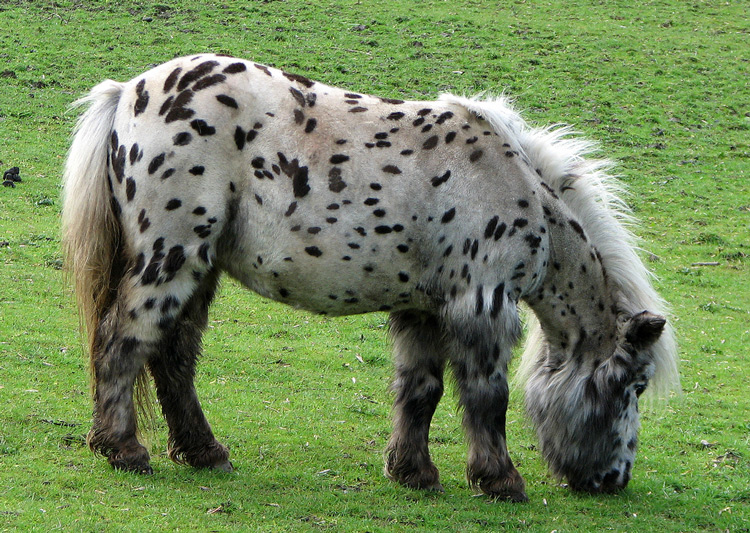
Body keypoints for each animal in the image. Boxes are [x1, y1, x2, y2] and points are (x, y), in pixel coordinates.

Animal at [61, 56, 680, 500]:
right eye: (635, 386)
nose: (614, 481)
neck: (513, 186)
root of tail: (128, 94)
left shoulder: (424, 308)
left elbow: (421, 389)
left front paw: (413, 473)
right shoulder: (482, 304)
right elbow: (486, 396)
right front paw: (501, 481)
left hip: (200, 266)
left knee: (174, 355)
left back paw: (202, 451)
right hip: (171, 256)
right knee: (124, 338)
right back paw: (123, 450)